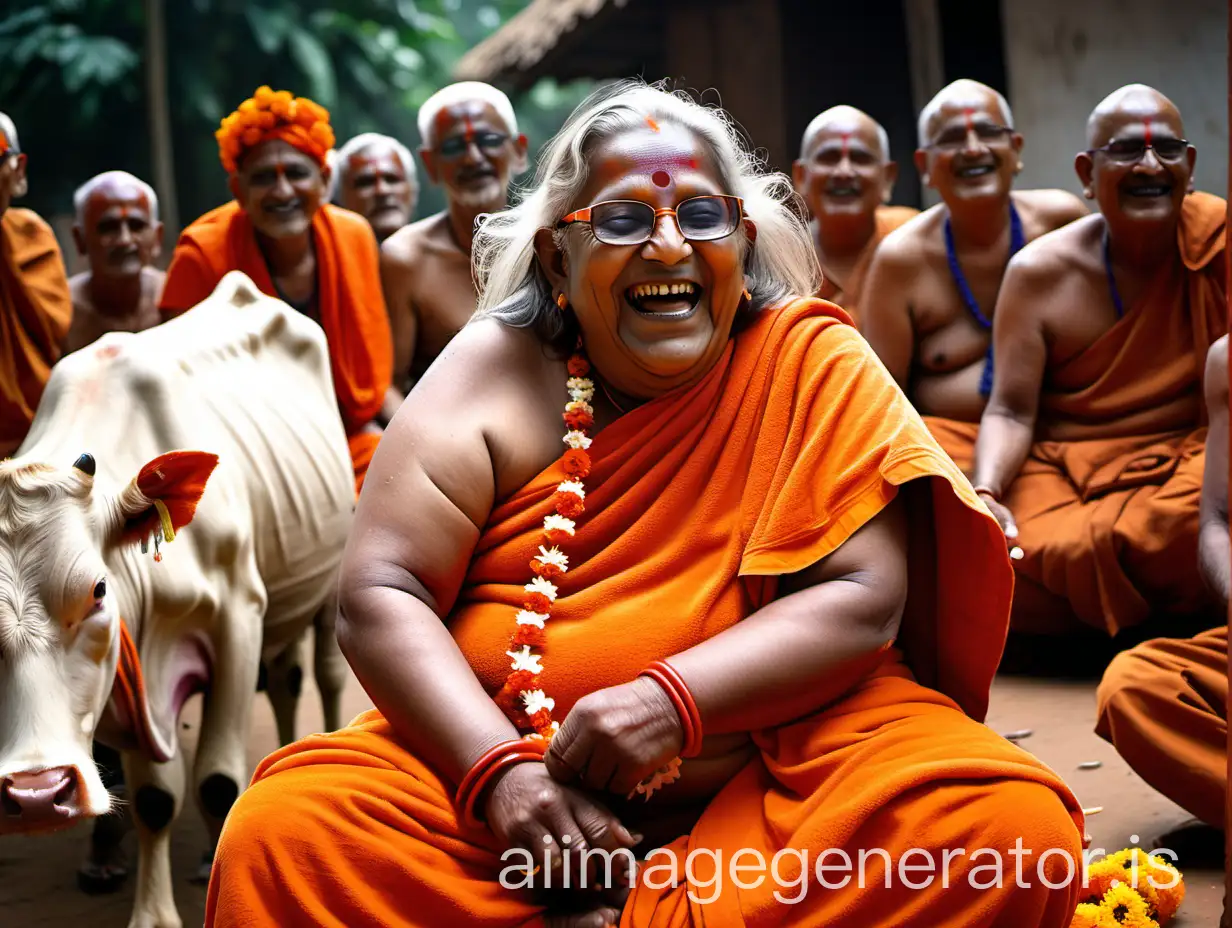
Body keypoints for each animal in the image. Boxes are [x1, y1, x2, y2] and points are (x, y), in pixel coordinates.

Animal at [1, 271, 357, 921]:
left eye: (98, 590)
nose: (37, 793)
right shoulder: (133, 669)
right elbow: (152, 798)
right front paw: (154, 912)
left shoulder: (238, 617)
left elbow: (216, 781)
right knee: (287, 678)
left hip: (327, 582)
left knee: (324, 674)